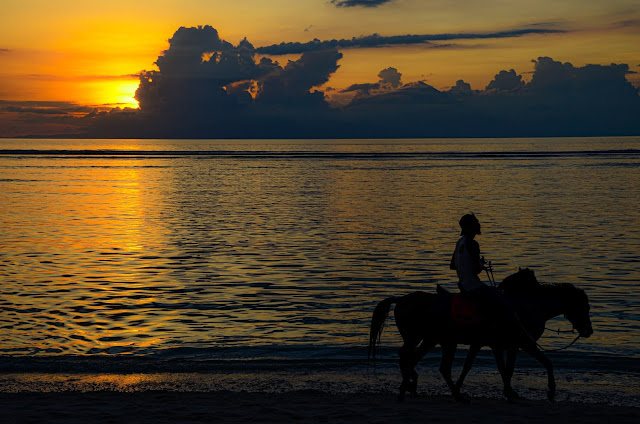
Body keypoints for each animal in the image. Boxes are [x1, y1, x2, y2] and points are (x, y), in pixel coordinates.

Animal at [368, 270, 592, 402]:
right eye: (585, 307)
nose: (589, 331)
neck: (526, 306)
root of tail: (401, 300)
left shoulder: (504, 345)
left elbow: (497, 368)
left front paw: (508, 391)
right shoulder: (520, 343)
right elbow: (544, 362)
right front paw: (550, 390)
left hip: (429, 340)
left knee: (411, 357)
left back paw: (412, 384)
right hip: (424, 339)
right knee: (410, 357)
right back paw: (410, 384)